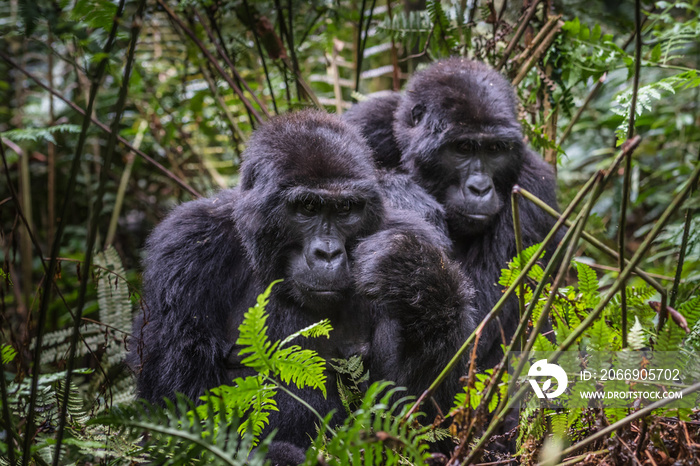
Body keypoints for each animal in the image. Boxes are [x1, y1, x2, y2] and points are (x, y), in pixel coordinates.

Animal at [127, 109, 476, 462]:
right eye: (308, 207)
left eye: (345, 208)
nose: (328, 253)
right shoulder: (187, 247)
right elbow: (183, 416)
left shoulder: (419, 233)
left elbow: (418, 424)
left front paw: (414, 276)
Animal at [342, 57, 560, 368]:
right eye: (463, 147)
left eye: (495, 149)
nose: (480, 188)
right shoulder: (365, 122)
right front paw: (402, 193)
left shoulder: (534, 190)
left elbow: (475, 333)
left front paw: (408, 268)